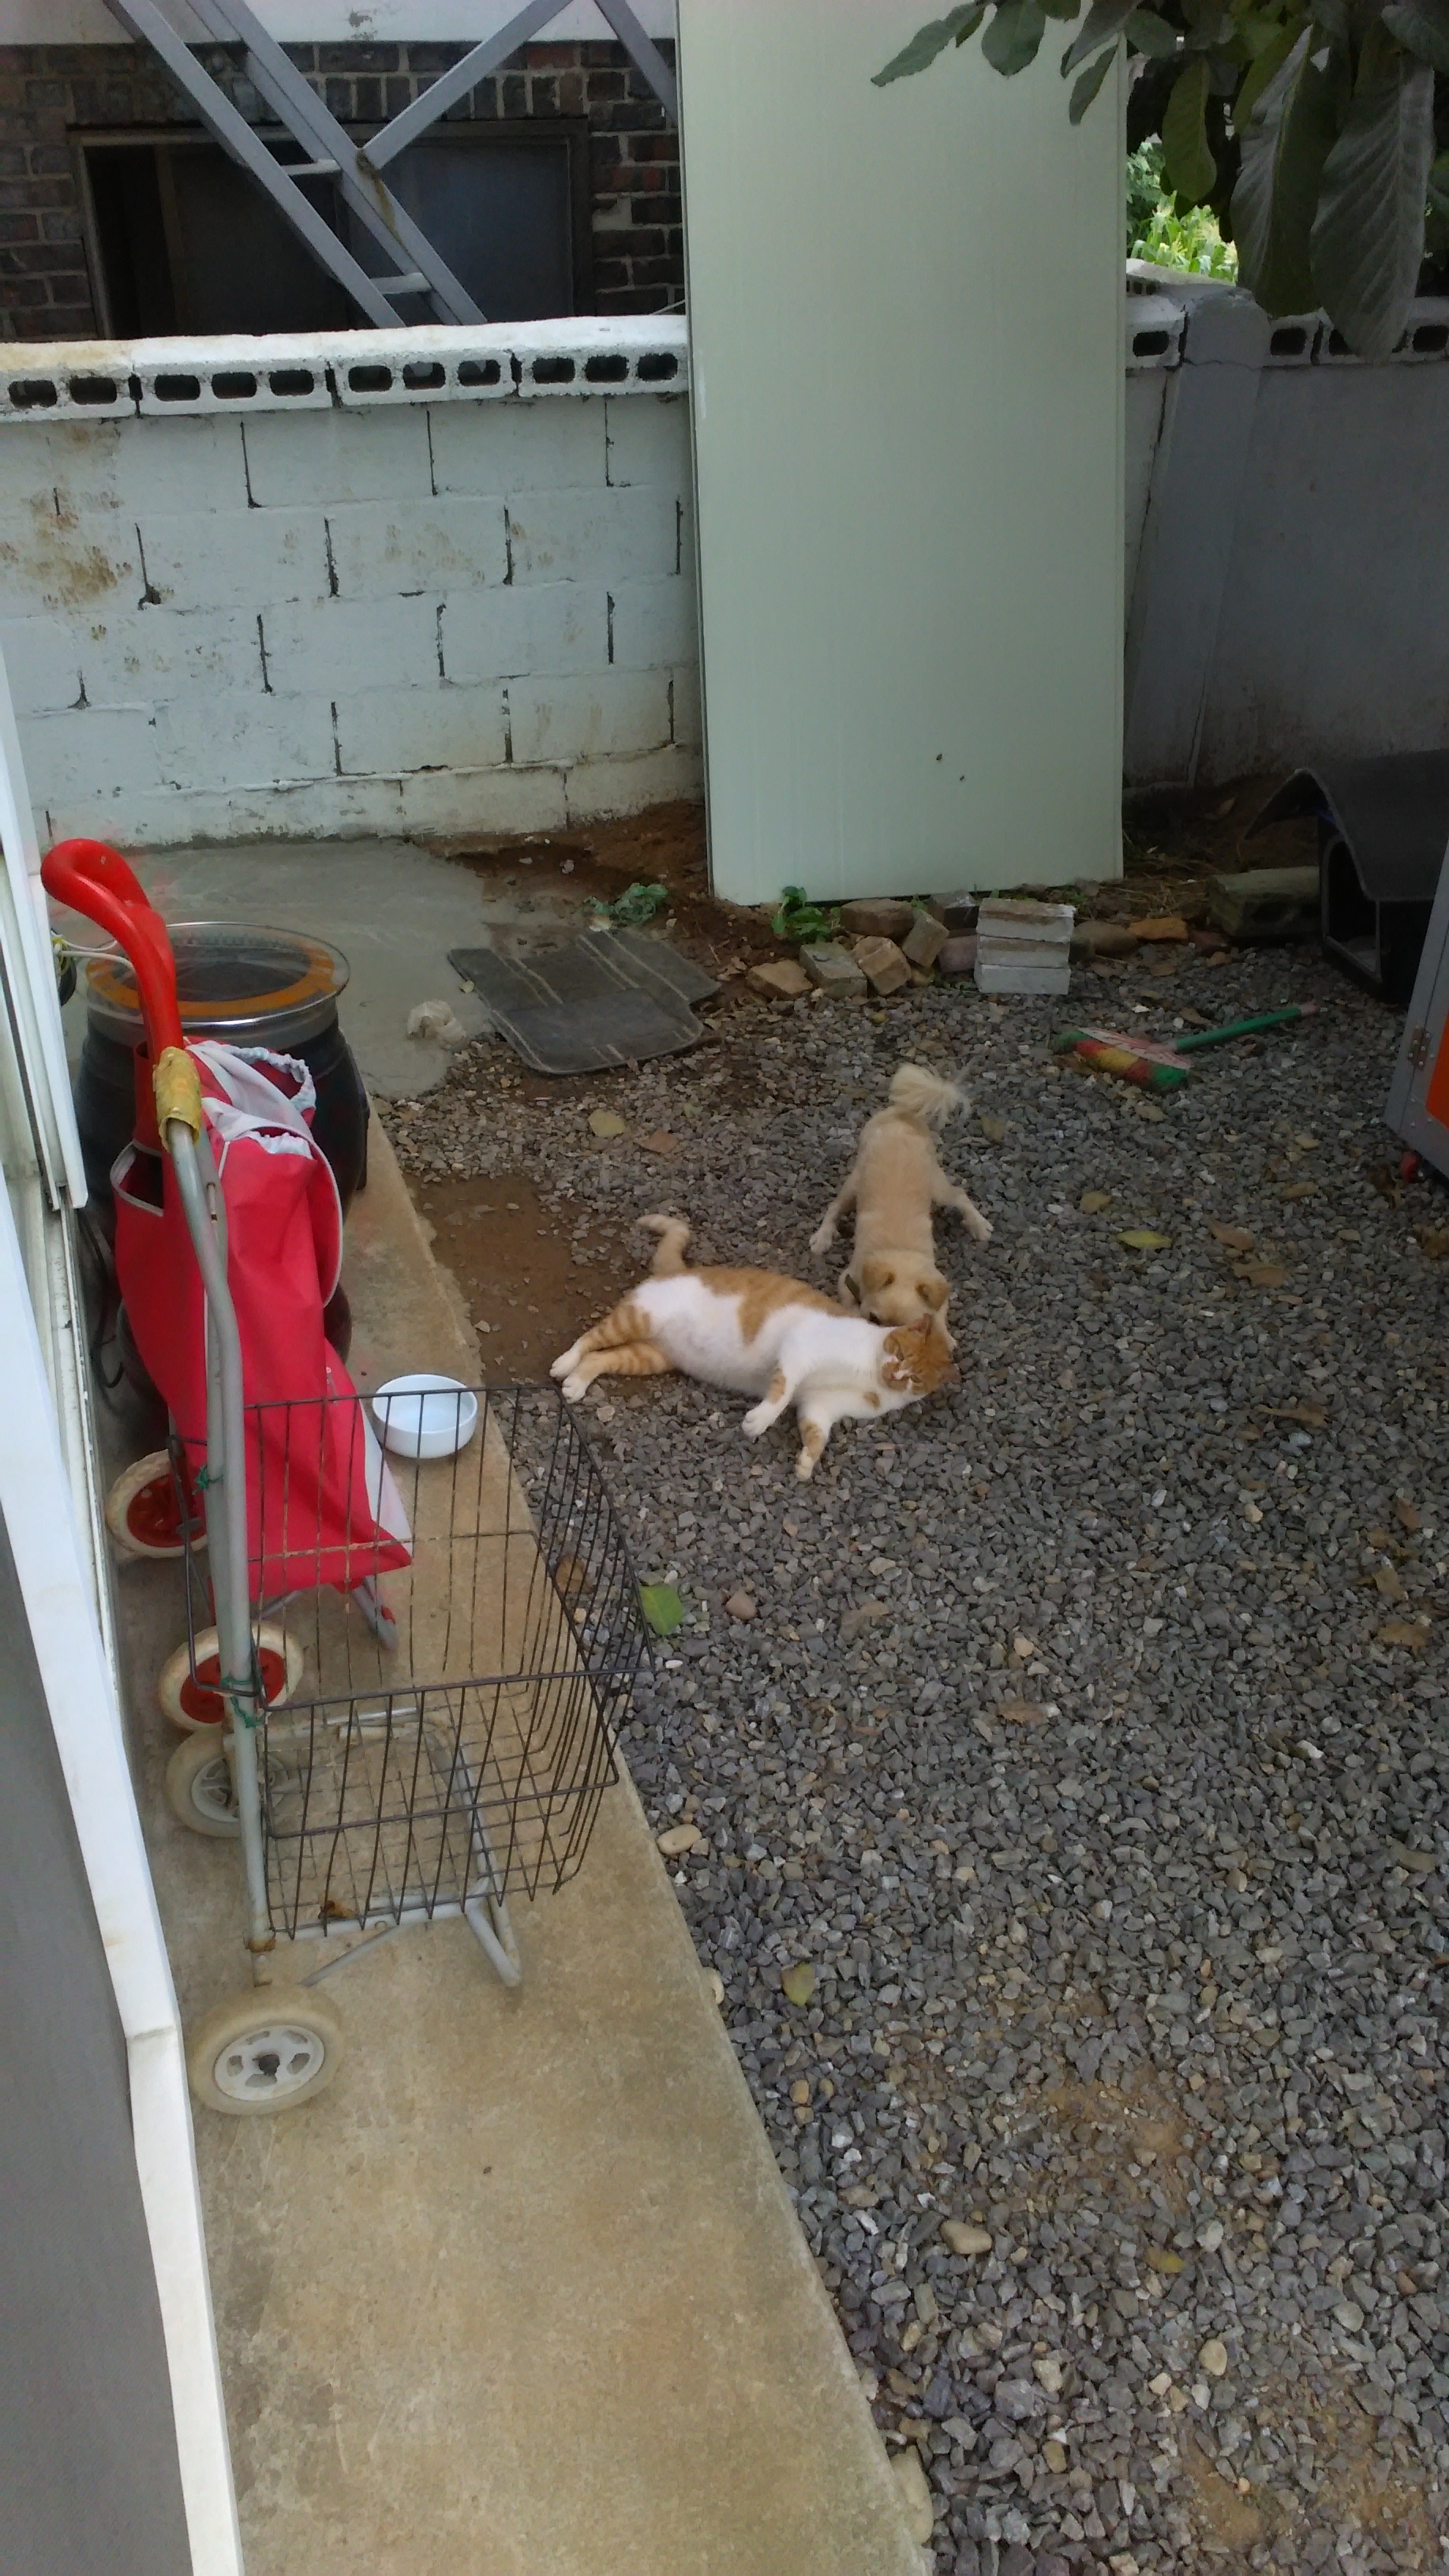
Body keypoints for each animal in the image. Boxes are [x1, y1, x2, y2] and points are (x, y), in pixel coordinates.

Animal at [551, 1215, 958, 1480]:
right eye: (900, 1354)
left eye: (914, 1378)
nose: (895, 1373)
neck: (870, 1375)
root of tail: (678, 1268)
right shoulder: (800, 1346)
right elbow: (782, 1391)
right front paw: (758, 1421)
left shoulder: (822, 1406)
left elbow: (816, 1433)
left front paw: (806, 1464)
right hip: (637, 1319)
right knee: (589, 1340)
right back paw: (564, 1364)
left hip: (650, 1356)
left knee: (600, 1358)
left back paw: (576, 1383)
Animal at [809, 1063, 991, 1341]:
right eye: (873, 1318)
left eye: (909, 1326)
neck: (899, 1252)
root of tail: (904, 1112)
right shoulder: (847, 1281)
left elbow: (938, 1312)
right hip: (855, 1184)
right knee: (834, 1207)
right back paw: (823, 1237)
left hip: (936, 1187)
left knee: (959, 1195)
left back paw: (979, 1225)